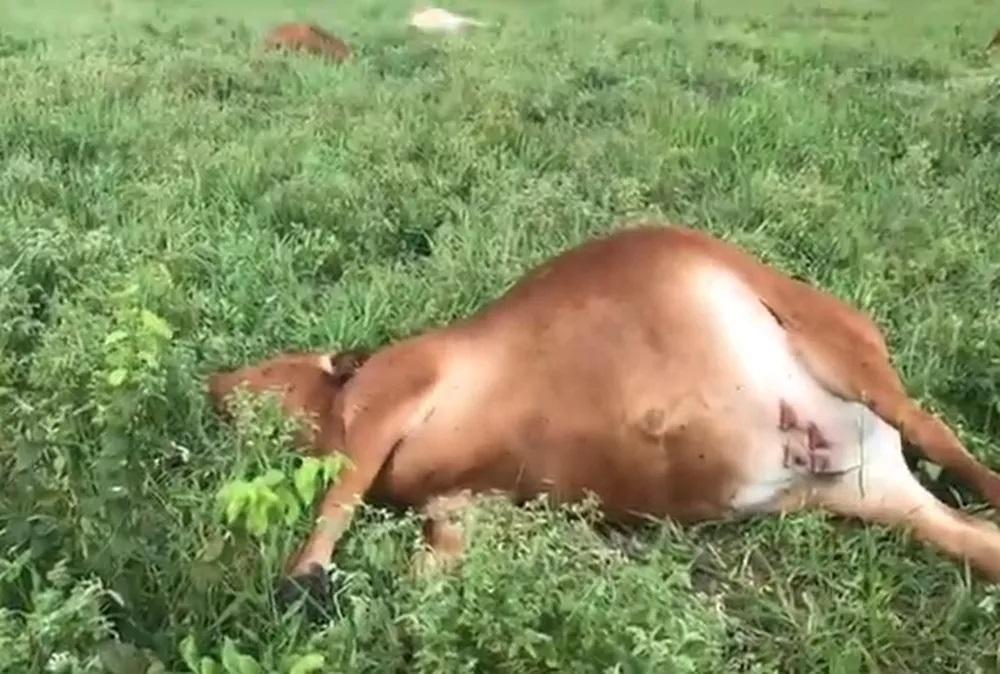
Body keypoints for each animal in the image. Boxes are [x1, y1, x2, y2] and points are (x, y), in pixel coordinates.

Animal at [208, 221, 1000, 612]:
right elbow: (428, 564)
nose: (212, 382)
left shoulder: (391, 392)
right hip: (865, 492)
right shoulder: (461, 506)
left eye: (267, 369)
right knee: (977, 539)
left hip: (844, 357)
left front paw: (301, 583)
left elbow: (336, 493)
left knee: (954, 448)